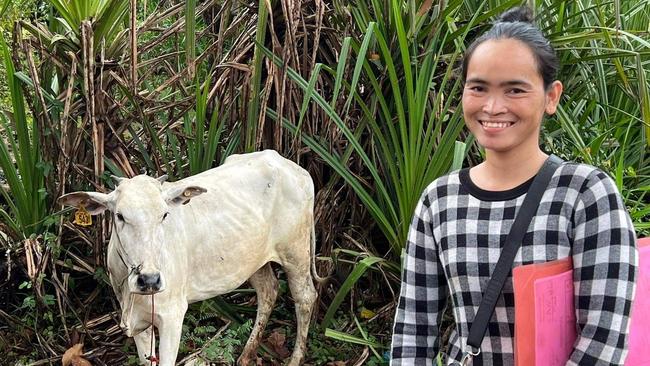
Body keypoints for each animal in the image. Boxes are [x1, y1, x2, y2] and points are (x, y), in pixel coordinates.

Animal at [59, 150, 318, 364]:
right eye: (120, 216)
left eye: (164, 214)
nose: (149, 280)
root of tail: (293, 167)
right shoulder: (138, 322)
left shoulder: (172, 316)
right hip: (253, 260)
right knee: (268, 291)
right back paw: (246, 355)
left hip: (296, 251)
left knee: (305, 297)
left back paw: (295, 359)